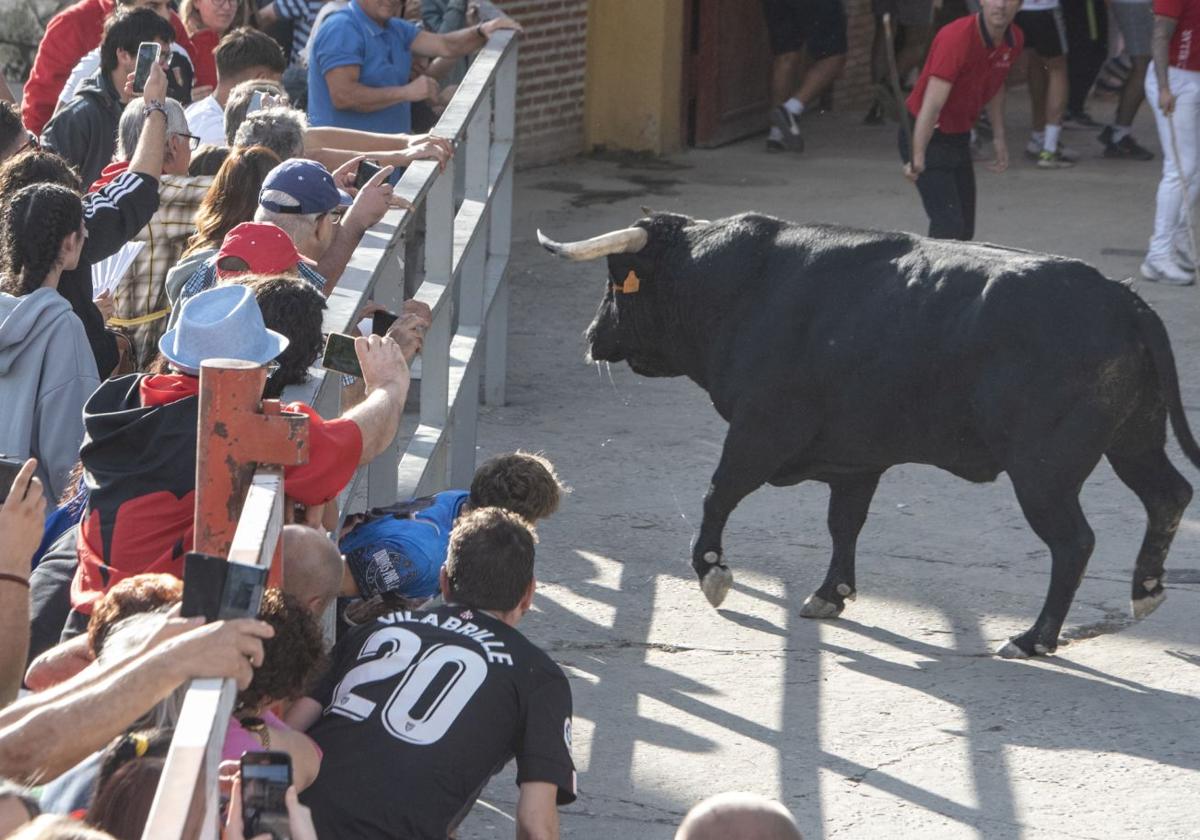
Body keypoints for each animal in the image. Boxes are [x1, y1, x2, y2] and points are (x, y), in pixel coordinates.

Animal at [542, 211, 1200, 657]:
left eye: (616, 282)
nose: (590, 337)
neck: (744, 286)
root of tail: (1123, 300)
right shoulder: (854, 461)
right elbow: (844, 522)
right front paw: (831, 593)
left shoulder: (761, 432)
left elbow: (718, 493)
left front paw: (712, 573)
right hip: (1133, 439)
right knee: (1168, 496)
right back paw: (1145, 589)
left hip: (1044, 472)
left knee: (1074, 542)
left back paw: (1034, 637)